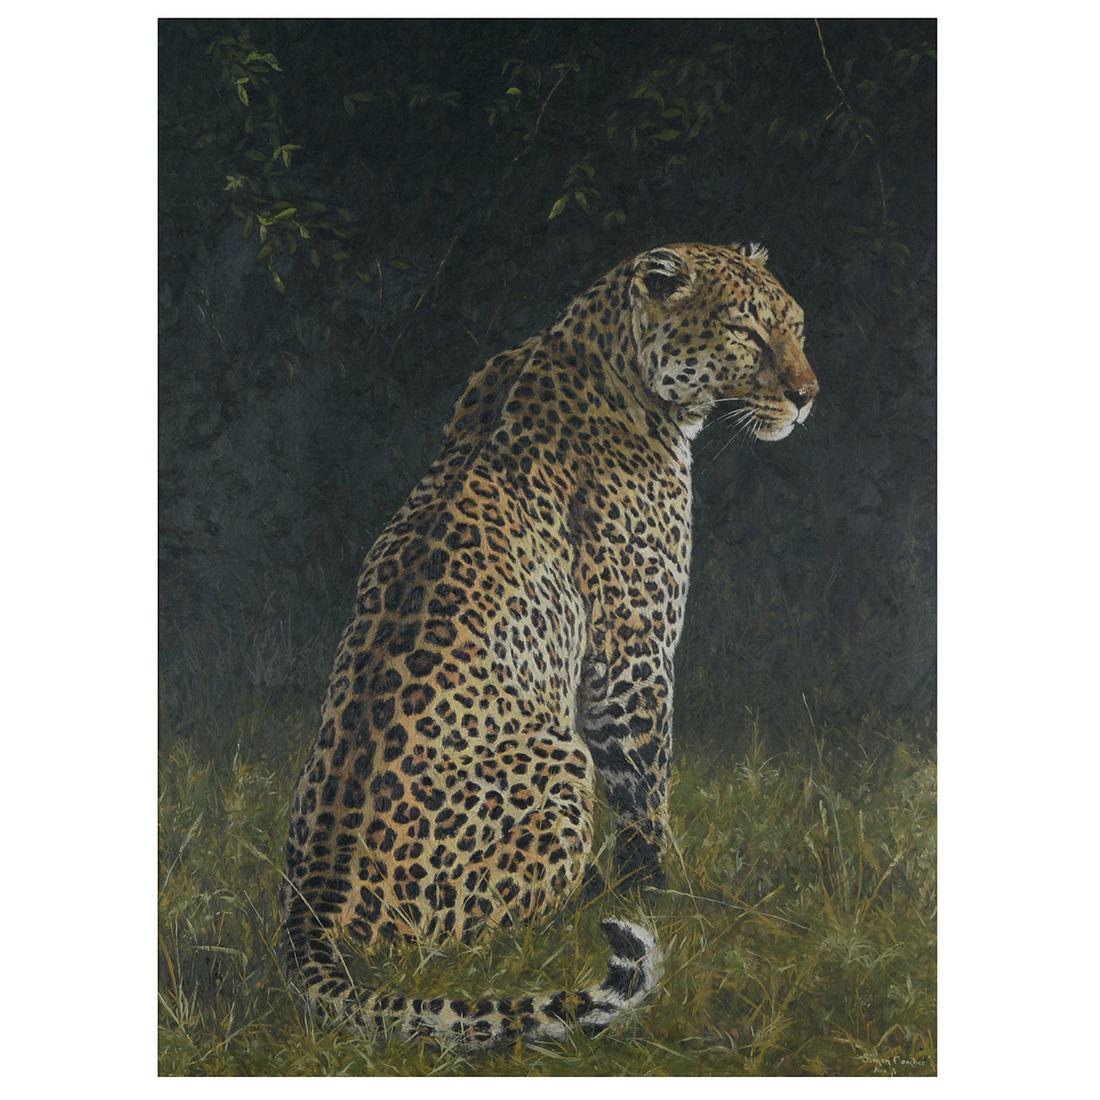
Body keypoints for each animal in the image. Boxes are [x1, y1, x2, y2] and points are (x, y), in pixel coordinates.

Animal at [281, 240, 819, 1047]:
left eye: (798, 327)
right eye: (748, 333)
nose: (808, 394)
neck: (606, 350)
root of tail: (313, 907)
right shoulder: (631, 655)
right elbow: (645, 785)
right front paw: (664, 892)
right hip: (560, 760)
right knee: (490, 935)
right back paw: (588, 899)